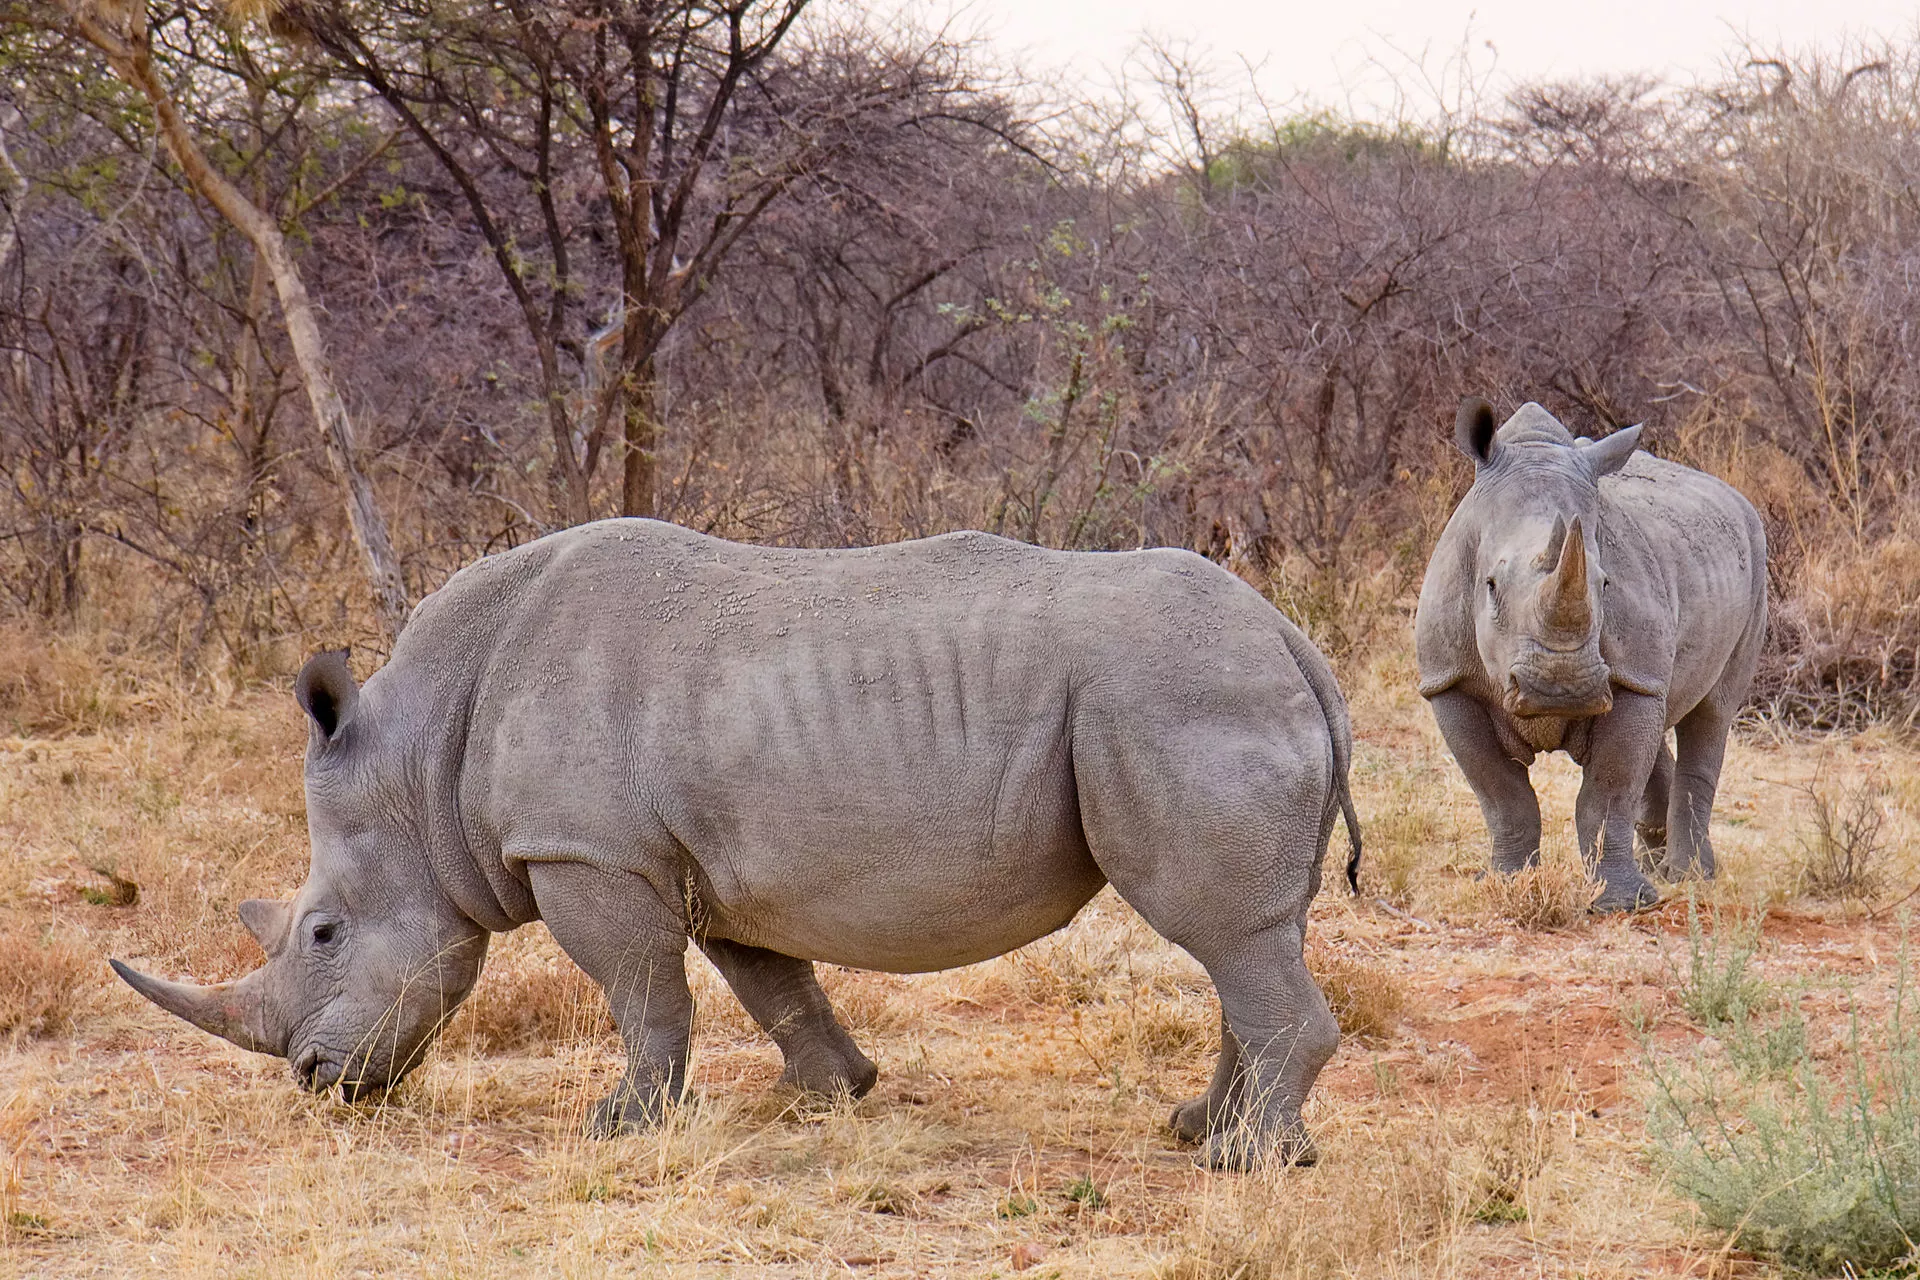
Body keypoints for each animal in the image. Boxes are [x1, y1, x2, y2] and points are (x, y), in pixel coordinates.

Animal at [112, 519, 1362, 1168]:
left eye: (323, 931)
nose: (317, 1080)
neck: (418, 763)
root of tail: (1292, 639)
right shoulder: (707, 862)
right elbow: (773, 981)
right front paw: (827, 1094)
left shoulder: (588, 852)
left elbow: (640, 992)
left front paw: (619, 1127)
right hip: (1200, 693)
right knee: (1244, 937)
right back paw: (1199, 1129)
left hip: (1178, 696)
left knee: (1222, 930)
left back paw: (1250, 1160)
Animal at [1415, 399, 1767, 911]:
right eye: (1490, 586)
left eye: (1604, 584)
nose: (1561, 688)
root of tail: (1736, 497)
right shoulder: (1448, 681)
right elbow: (1502, 795)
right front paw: (1506, 884)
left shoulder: (1630, 675)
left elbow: (1608, 791)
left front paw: (1624, 903)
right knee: (1664, 711)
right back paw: (1657, 860)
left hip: (1756, 561)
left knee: (1712, 713)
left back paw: (1689, 877)